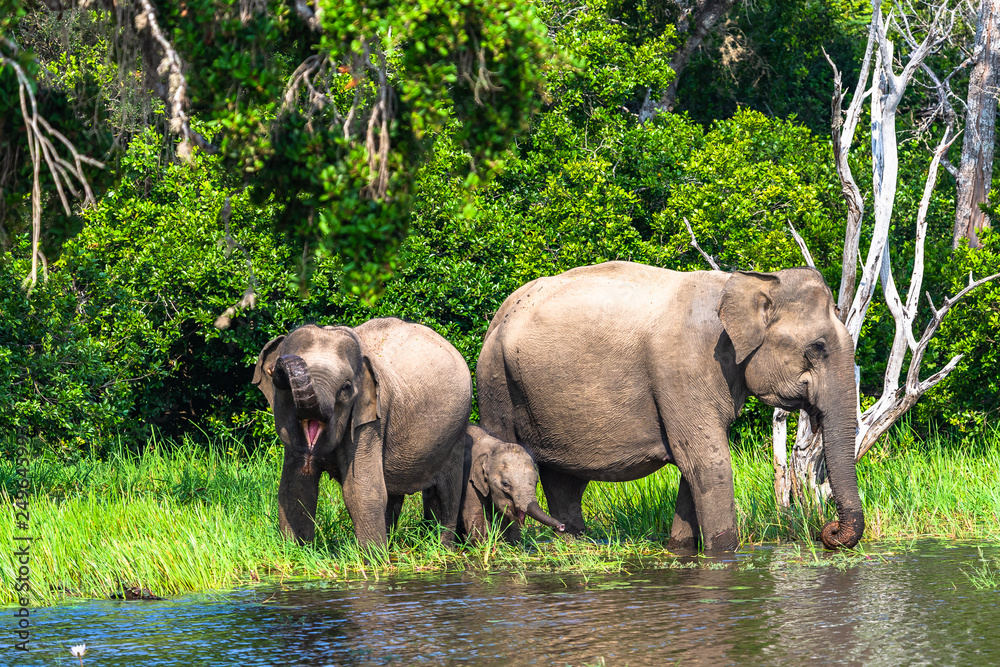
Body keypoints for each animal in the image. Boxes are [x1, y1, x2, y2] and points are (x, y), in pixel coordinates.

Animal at [252, 318, 472, 548]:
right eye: (280, 383)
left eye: (346, 387)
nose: (276, 368)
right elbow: (295, 488)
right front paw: (296, 550)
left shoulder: (371, 421)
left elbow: (361, 490)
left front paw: (373, 556)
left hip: (457, 430)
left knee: (447, 490)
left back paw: (443, 548)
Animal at [476, 261, 864, 551]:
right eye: (817, 348)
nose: (828, 532)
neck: (746, 282)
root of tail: (498, 315)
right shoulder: (685, 368)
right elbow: (708, 462)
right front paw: (723, 554)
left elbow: (693, 468)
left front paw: (679, 549)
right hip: (495, 380)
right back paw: (512, 546)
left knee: (566, 481)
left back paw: (573, 543)